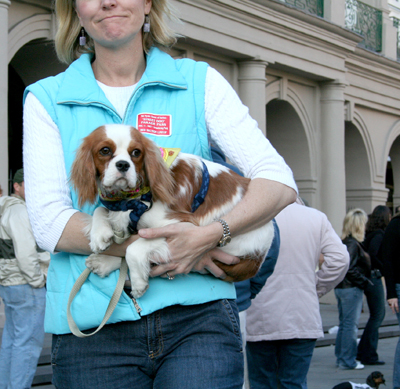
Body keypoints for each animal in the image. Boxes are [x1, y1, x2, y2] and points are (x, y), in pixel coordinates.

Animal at [70, 124, 274, 298]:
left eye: (136, 153)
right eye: (105, 150)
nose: (123, 164)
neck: (132, 197)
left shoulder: (185, 225)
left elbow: (133, 248)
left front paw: (138, 282)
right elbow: (101, 211)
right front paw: (99, 234)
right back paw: (103, 262)